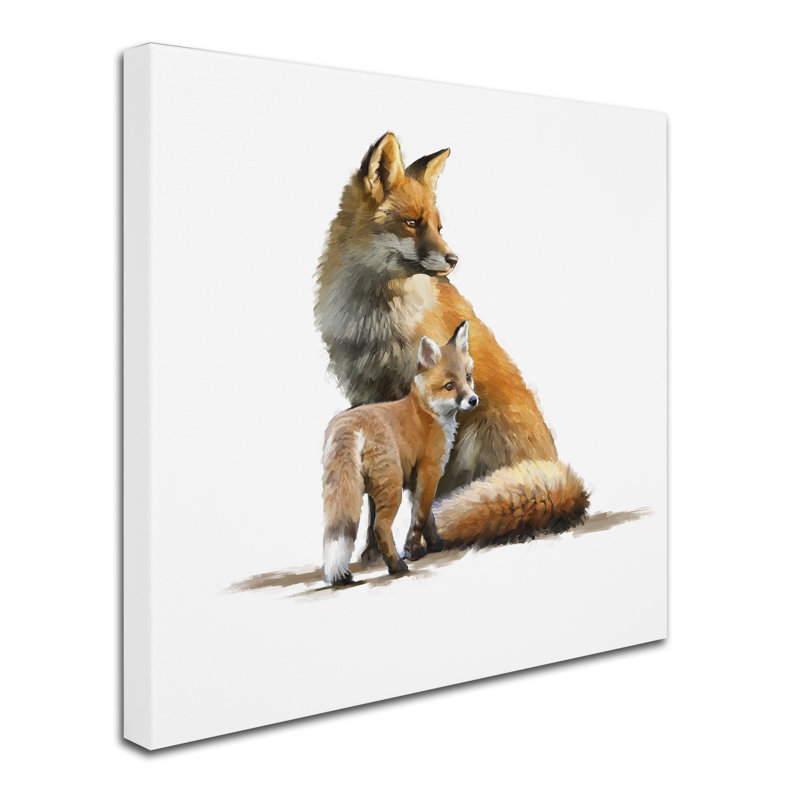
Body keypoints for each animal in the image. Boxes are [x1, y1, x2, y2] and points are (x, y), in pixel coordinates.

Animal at [315, 132, 589, 556]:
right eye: (413, 223)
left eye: (439, 226)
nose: (453, 259)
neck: (375, 316)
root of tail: (563, 478)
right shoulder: (364, 393)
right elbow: (376, 488)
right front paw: (373, 551)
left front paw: (396, 545)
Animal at [322, 322, 478, 585]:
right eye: (449, 386)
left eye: (468, 377)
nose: (473, 400)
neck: (426, 411)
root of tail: (348, 424)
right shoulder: (429, 470)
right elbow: (420, 517)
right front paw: (413, 551)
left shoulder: (416, 479)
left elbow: (427, 517)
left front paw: (435, 544)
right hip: (391, 486)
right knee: (380, 527)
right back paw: (396, 566)